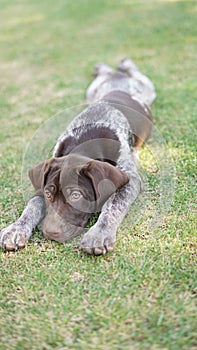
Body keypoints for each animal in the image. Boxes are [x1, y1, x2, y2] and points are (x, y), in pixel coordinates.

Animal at [0, 57, 156, 254]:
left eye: (76, 195)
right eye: (48, 194)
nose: (50, 233)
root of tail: (117, 80)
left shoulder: (130, 180)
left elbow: (112, 205)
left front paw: (99, 233)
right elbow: (33, 205)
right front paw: (16, 228)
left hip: (146, 88)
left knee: (136, 73)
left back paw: (125, 63)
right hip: (93, 89)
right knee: (106, 72)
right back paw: (104, 68)